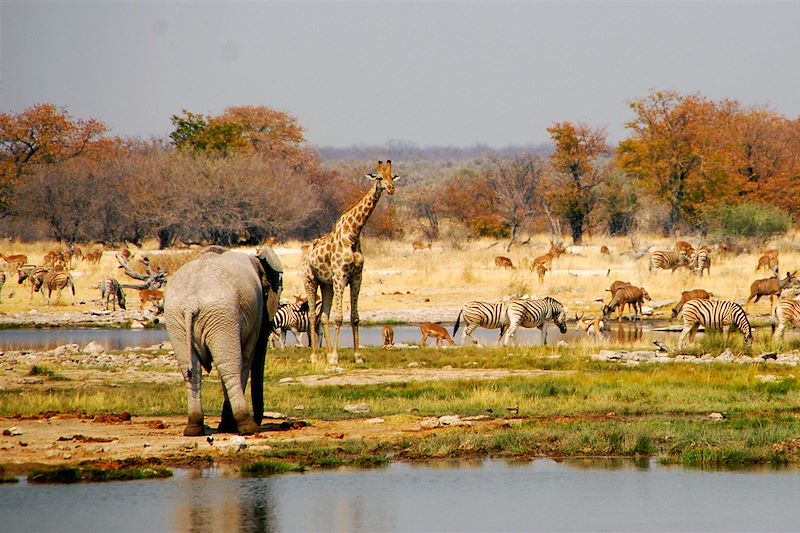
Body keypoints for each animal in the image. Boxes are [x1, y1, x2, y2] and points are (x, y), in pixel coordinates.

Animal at [164, 246, 282, 436]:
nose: (259, 420)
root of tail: (191, 303)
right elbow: (246, 358)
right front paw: (229, 426)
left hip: (176, 318)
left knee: (190, 369)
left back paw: (194, 428)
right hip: (221, 314)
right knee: (230, 366)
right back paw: (247, 427)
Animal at [302, 160, 398, 364]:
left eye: (392, 177)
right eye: (379, 177)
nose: (391, 188)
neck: (353, 235)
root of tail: (307, 253)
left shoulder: (356, 278)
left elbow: (354, 317)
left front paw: (357, 356)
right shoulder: (340, 276)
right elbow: (339, 317)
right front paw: (335, 357)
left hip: (327, 284)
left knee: (324, 315)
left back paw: (326, 353)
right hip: (310, 280)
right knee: (313, 315)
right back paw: (315, 357)